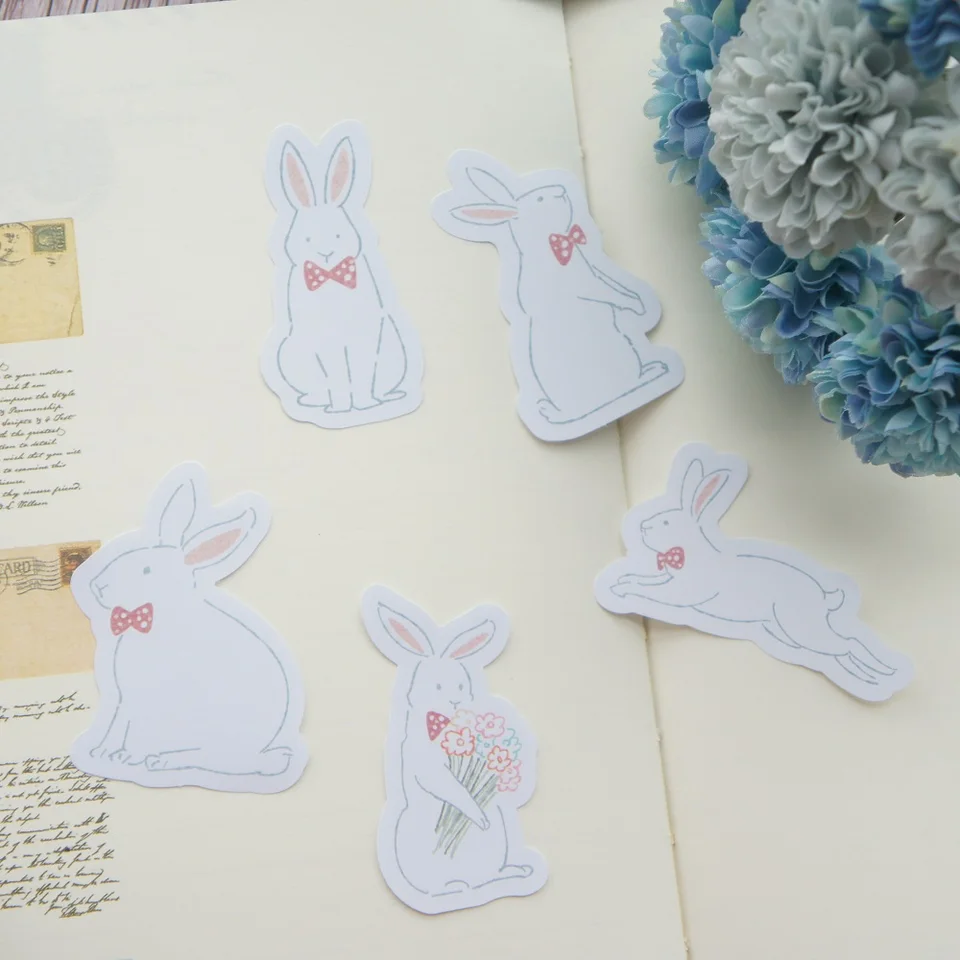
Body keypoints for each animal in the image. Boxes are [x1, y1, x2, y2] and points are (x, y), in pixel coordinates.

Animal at [70, 463, 308, 793]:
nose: (96, 586)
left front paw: (128, 758)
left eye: (146, 570)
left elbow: (138, 732)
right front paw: (102, 753)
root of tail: (259, 754)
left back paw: (163, 761)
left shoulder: (151, 701)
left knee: (212, 759)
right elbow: (118, 725)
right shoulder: (126, 700)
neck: (162, 615)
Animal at [262, 121, 423, 428]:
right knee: (318, 386)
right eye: (308, 238)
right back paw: (316, 401)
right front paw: (339, 410)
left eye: (338, 234)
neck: (330, 276)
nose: (326, 253)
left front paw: (364, 406)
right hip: (290, 350)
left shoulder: (368, 333)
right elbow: (336, 376)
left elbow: (361, 371)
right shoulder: (325, 341)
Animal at [362, 586, 547, 914]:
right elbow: (449, 787)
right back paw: (453, 887)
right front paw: (478, 816)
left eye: (461, 685)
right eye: (437, 687)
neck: (445, 724)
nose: (457, 700)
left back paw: (511, 872)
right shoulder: (428, 766)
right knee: (441, 887)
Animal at [432, 151, 684, 441]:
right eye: (540, 199)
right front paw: (634, 305)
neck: (556, 246)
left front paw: (638, 305)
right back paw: (649, 375)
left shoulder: (592, 271)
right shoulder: (582, 283)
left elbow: (610, 282)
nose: (562, 190)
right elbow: (602, 290)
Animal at [595, 444, 913, 701]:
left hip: (801, 629)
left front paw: (623, 589)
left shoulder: (682, 594)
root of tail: (825, 597)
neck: (689, 553)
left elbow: (651, 591)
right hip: (787, 633)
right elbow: (645, 579)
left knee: (849, 644)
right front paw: (623, 581)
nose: (642, 527)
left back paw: (882, 674)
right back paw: (873, 677)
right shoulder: (667, 579)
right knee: (838, 653)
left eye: (665, 522)